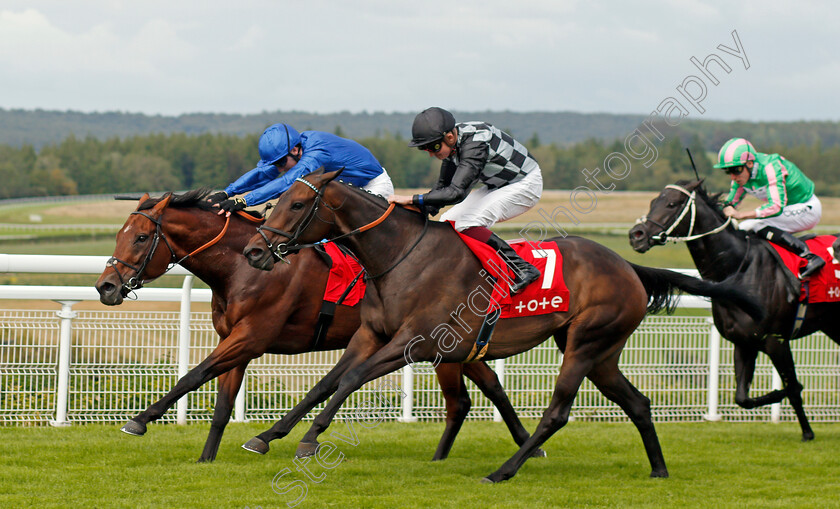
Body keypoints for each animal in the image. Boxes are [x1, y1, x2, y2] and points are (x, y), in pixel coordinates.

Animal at [93, 189, 544, 462]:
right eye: (118, 234)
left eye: (139, 238)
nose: (106, 286)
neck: (241, 265)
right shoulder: (235, 339)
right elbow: (221, 405)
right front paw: (207, 458)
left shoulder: (250, 337)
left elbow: (193, 375)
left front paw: (140, 420)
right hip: (453, 344)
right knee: (482, 389)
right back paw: (523, 446)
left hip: (440, 341)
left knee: (475, 393)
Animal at [238, 170, 760, 480]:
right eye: (277, 200)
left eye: (296, 205)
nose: (255, 252)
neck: (399, 256)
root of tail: (628, 267)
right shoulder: (372, 335)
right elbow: (327, 381)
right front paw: (266, 437)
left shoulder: (416, 341)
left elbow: (350, 380)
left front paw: (309, 441)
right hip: (601, 353)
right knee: (637, 403)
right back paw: (658, 470)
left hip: (586, 343)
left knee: (558, 412)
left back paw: (505, 469)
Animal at [632, 180, 840, 440]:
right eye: (653, 201)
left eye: (672, 203)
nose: (636, 235)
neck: (738, 268)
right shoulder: (743, 342)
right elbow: (743, 398)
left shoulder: (776, 340)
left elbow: (792, 386)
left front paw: (807, 432)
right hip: (832, 324)